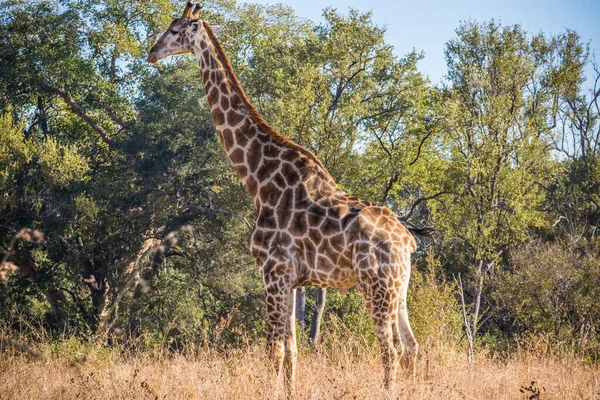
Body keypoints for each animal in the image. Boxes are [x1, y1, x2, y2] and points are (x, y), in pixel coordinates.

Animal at [148, 1, 422, 392]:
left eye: (175, 30)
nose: (152, 53)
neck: (259, 180)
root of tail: (408, 241)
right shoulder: (292, 280)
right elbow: (292, 352)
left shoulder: (272, 271)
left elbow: (274, 352)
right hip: (400, 289)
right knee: (412, 347)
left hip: (376, 286)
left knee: (392, 351)